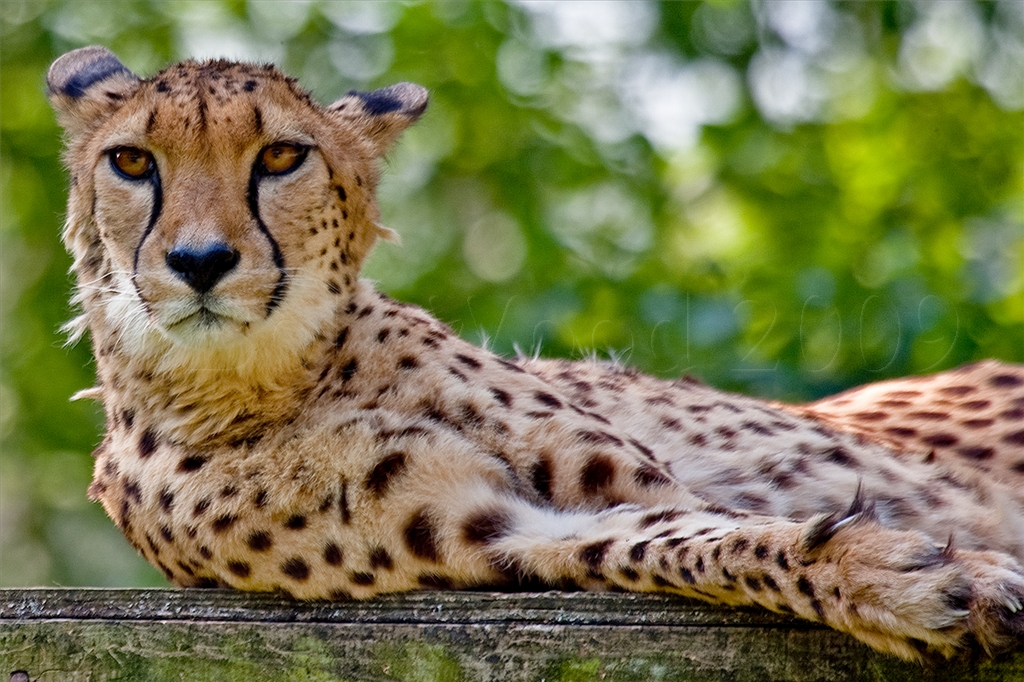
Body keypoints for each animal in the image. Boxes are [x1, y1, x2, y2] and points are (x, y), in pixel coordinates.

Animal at [47, 45, 1024, 662]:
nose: (200, 261)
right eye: (132, 162)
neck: (271, 382)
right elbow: (678, 543)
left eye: (282, 156)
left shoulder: (638, 481)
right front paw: (903, 576)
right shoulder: (497, 535)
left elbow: (709, 525)